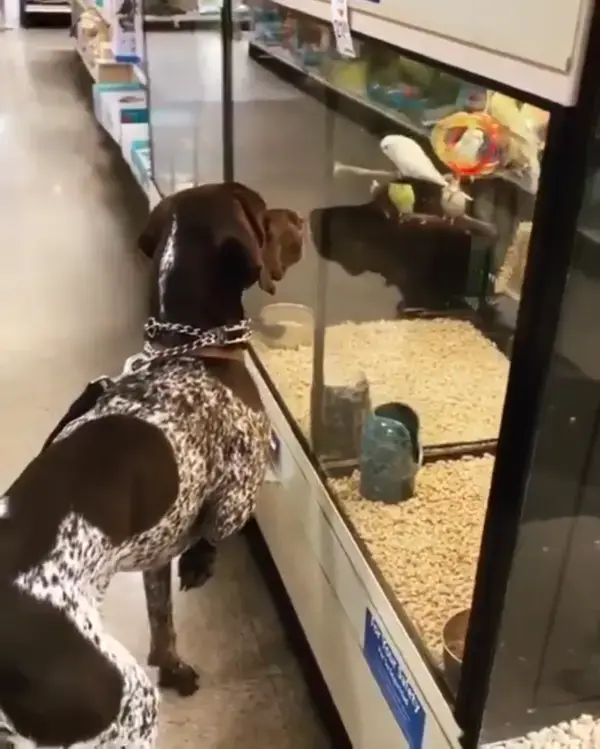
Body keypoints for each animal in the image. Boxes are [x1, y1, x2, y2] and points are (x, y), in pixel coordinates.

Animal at [0, 183, 302, 748]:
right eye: (263, 212)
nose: (301, 216)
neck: (189, 351)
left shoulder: (155, 551)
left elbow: (163, 621)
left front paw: (174, 663)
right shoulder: (237, 492)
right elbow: (217, 529)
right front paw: (202, 562)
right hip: (128, 706)